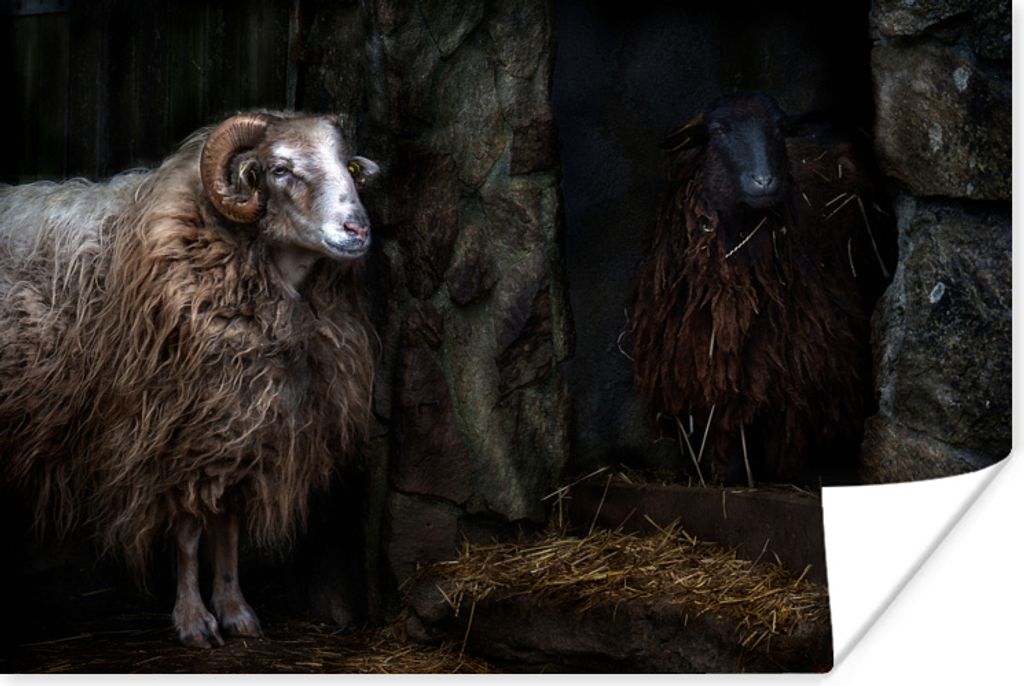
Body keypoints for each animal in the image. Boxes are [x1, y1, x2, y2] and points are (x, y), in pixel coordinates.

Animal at [0, 112, 380, 647]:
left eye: (349, 165)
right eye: (280, 169)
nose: (357, 229)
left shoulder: (239, 426)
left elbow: (228, 527)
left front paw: (235, 609)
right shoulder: (177, 434)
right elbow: (188, 533)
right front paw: (194, 620)